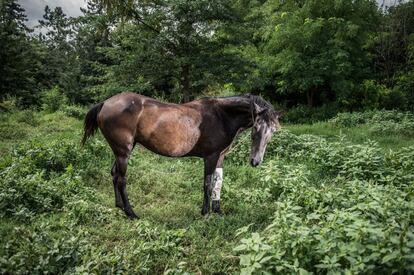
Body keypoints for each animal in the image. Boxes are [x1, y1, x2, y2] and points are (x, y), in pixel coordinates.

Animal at [81, 94, 282, 221]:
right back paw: (131, 213)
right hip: (124, 152)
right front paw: (206, 213)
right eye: (256, 127)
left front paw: (218, 210)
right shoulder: (210, 157)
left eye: (273, 131)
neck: (222, 116)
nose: (255, 161)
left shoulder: (220, 157)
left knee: (114, 175)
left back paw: (120, 206)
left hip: (121, 151)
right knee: (122, 180)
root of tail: (105, 103)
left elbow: (218, 183)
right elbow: (208, 184)